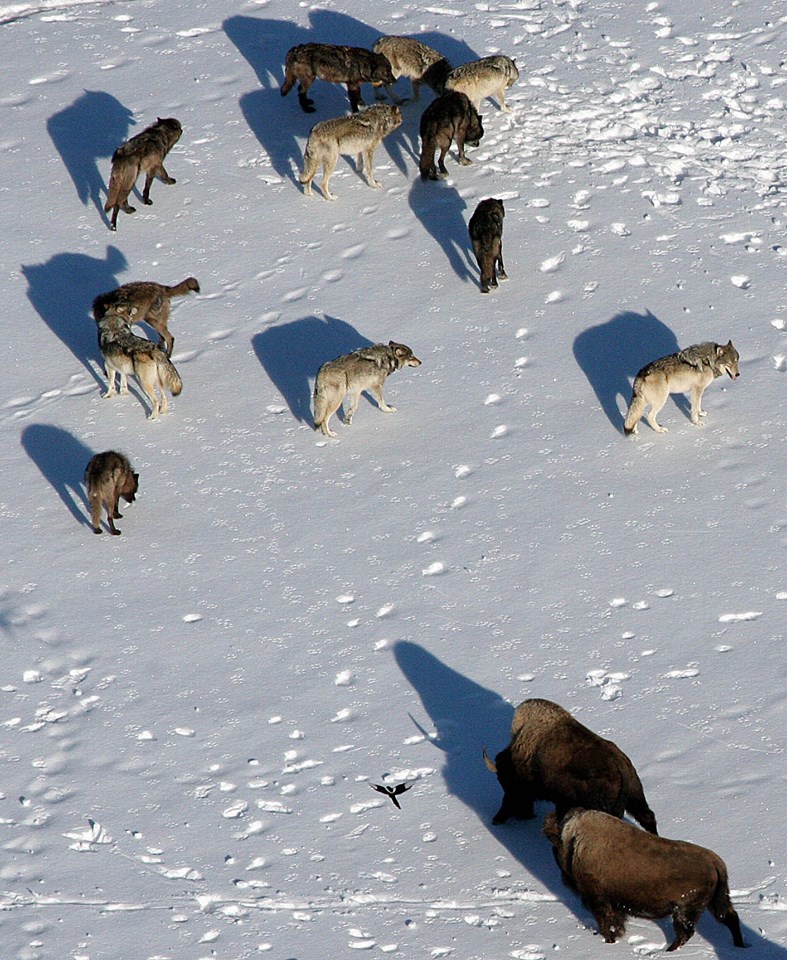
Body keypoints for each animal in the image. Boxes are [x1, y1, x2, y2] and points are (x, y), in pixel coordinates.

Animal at [540, 808, 744, 952]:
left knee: (687, 932)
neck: (575, 842)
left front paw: (609, 941)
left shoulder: (599, 900)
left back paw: (669, 951)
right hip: (713, 904)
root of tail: (714, 861)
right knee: (730, 918)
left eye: (556, 847)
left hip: (685, 910)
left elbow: (608, 923)